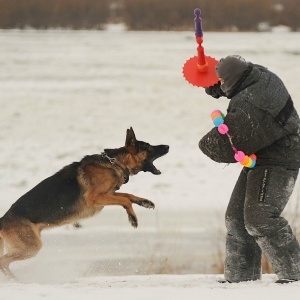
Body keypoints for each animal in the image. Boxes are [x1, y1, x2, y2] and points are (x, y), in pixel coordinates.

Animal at [0, 127, 168, 280]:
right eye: (149, 147)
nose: (167, 146)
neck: (116, 163)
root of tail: (2, 220)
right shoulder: (95, 198)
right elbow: (125, 199)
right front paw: (132, 218)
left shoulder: (107, 195)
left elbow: (127, 195)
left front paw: (144, 202)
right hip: (31, 247)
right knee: (3, 262)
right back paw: (14, 280)